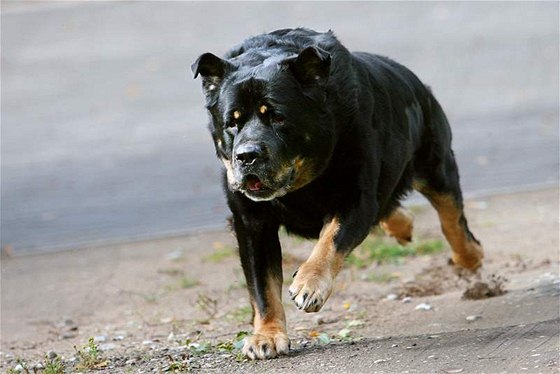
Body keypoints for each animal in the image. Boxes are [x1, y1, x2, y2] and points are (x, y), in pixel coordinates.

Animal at [191, 27, 482, 360]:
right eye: (232, 122)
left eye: (277, 117)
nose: (246, 155)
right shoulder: (251, 222)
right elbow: (261, 285)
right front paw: (267, 335)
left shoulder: (355, 198)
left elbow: (330, 241)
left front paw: (309, 284)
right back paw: (402, 225)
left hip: (436, 165)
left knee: (451, 218)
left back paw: (470, 255)